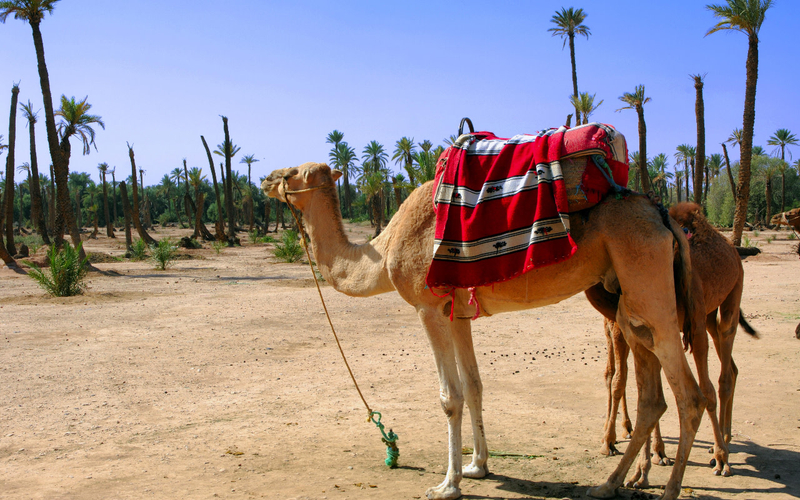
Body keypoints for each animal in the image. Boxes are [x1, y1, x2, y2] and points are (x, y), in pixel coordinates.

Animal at [262, 162, 706, 500]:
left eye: (293, 172)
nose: (266, 179)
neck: (384, 252)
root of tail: (662, 216)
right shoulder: (457, 314)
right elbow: (474, 386)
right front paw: (478, 465)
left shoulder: (428, 308)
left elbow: (450, 397)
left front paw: (447, 485)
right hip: (628, 300)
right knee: (653, 396)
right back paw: (609, 484)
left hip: (647, 281)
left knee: (690, 396)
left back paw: (668, 491)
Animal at [587, 202, 756, 482]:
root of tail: (731, 248)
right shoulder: (639, 330)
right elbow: (635, 386)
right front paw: (642, 466)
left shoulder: (685, 323)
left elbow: (702, 390)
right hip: (707, 316)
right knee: (730, 366)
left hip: (731, 294)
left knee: (724, 372)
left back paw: (722, 449)